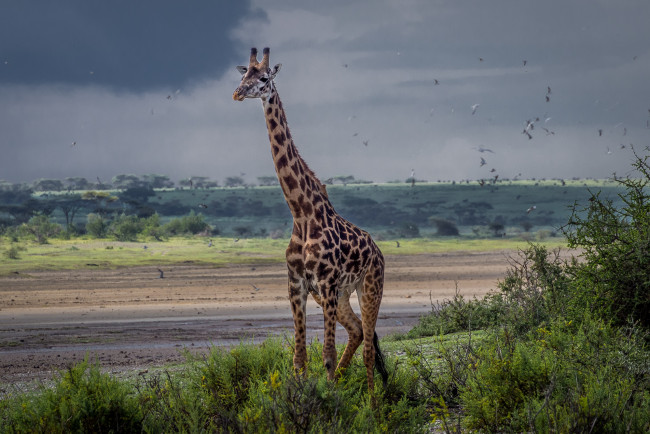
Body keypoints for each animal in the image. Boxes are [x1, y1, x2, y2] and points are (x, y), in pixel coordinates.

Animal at [232, 47, 384, 394]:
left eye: (264, 78)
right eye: (243, 74)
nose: (237, 93)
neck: (301, 212)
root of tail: (379, 252)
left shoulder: (326, 282)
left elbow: (326, 353)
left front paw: (330, 398)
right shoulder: (297, 284)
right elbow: (300, 357)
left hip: (369, 287)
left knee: (369, 349)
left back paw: (374, 402)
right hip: (340, 295)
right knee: (358, 332)